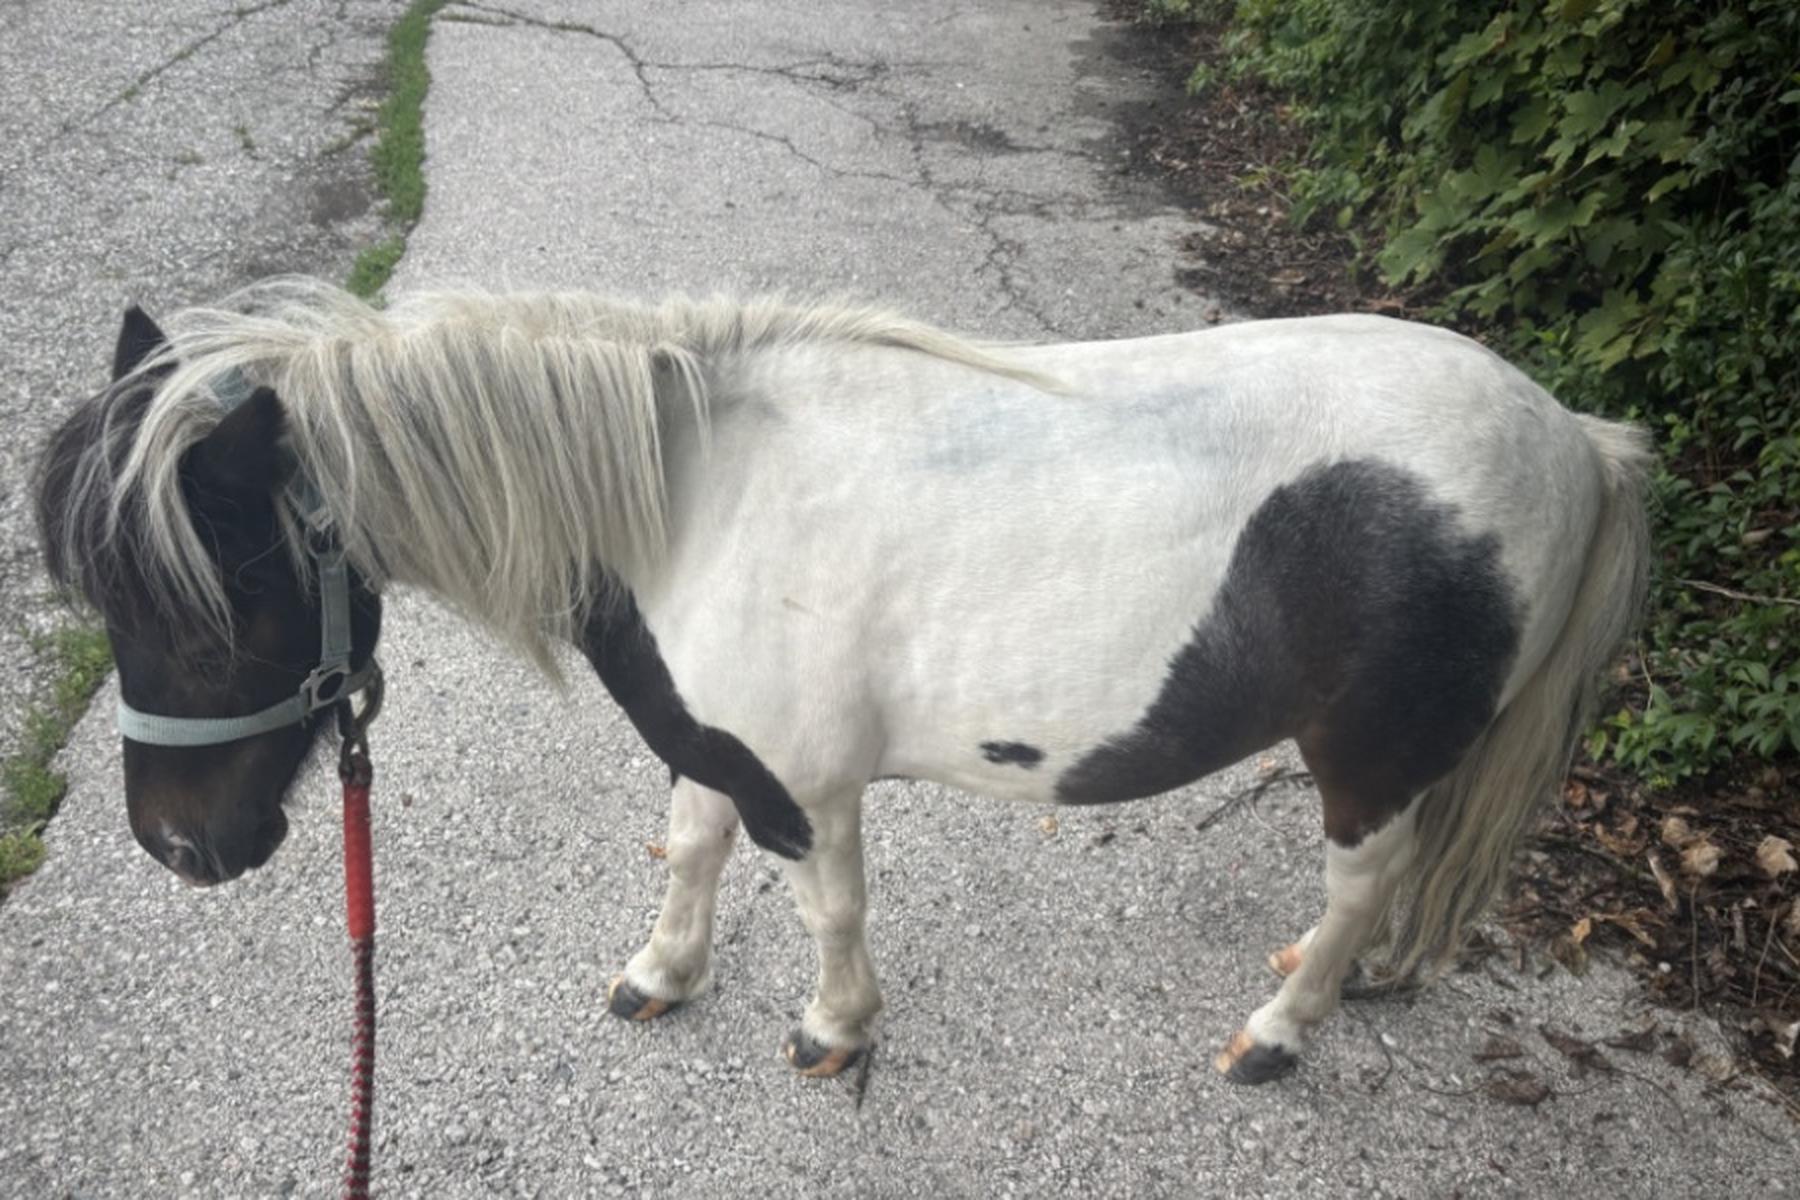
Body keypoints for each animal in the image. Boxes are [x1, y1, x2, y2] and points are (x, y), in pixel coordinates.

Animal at [34, 277, 1650, 1084]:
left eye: (224, 594)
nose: (179, 847)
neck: (687, 499)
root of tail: (1570, 436)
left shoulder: (804, 786)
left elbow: (825, 910)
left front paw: (833, 1031)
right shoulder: (715, 745)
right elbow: (687, 846)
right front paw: (662, 976)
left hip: (1362, 756)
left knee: (1367, 878)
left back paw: (1281, 1030)